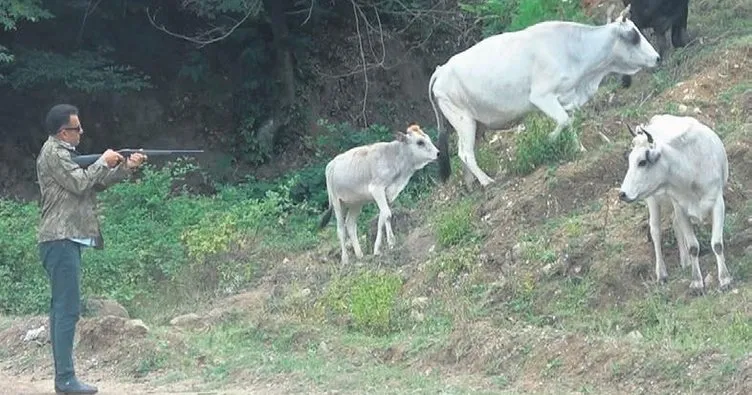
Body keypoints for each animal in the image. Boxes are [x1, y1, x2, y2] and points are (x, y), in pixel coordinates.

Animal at [318, 124, 440, 266]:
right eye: (420, 142)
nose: (438, 153)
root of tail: (330, 164)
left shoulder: (388, 194)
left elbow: (382, 219)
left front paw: (377, 249)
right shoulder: (377, 189)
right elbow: (387, 215)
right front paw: (392, 242)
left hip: (356, 203)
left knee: (350, 224)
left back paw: (360, 255)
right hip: (337, 202)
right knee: (340, 229)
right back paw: (345, 259)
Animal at [428, 3, 656, 187]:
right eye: (634, 36)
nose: (657, 57)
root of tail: (441, 69)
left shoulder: (565, 97)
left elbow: (570, 120)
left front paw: (580, 148)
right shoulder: (541, 97)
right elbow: (563, 121)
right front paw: (550, 140)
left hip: (475, 124)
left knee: (466, 154)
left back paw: (470, 184)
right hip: (463, 120)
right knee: (465, 153)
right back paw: (486, 181)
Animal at [620, 113, 732, 290]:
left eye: (642, 162)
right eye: (630, 160)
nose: (622, 193)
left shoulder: (717, 203)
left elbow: (717, 244)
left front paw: (725, 279)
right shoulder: (680, 208)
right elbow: (693, 247)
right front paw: (696, 282)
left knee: (674, 225)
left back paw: (685, 262)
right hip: (652, 200)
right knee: (655, 231)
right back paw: (661, 273)